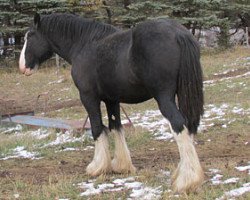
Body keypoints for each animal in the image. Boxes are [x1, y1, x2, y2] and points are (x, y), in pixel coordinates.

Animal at [19, 12, 203, 194]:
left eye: (31, 35)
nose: (22, 66)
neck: (83, 45)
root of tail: (178, 33)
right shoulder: (112, 99)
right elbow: (116, 126)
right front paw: (121, 166)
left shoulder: (89, 97)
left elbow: (97, 128)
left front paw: (97, 167)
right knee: (188, 126)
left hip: (164, 98)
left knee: (179, 125)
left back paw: (186, 181)